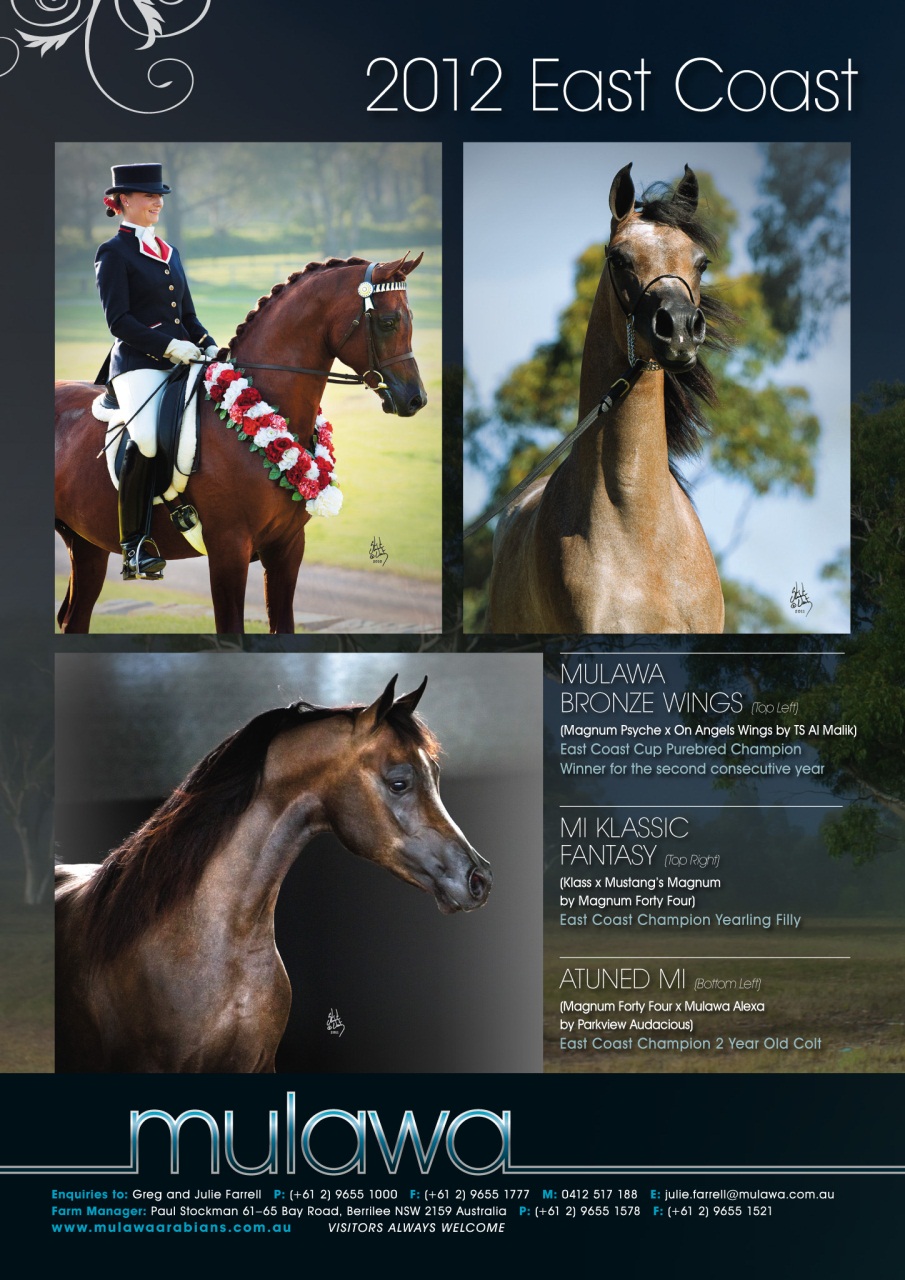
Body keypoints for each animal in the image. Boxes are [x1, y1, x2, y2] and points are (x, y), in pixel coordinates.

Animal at [55, 253, 427, 634]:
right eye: (388, 322)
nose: (416, 399)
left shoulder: (286, 547)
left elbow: (283, 625)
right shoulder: (228, 549)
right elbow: (231, 629)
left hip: (87, 543)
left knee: (74, 618)